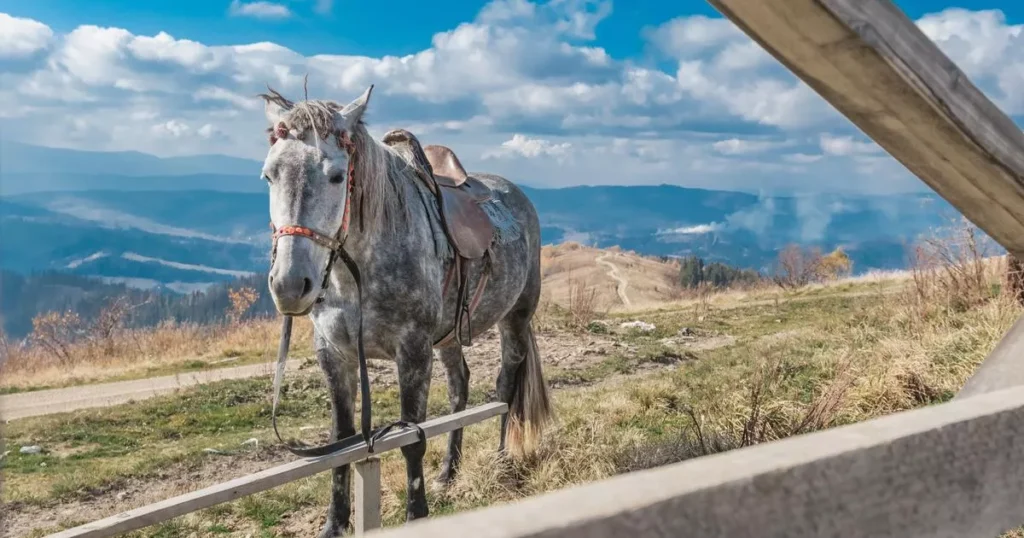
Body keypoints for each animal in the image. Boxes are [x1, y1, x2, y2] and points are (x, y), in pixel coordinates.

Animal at [260, 86, 557, 532]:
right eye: (269, 175)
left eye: (336, 175)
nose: (290, 285)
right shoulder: (334, 355)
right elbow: (340, 442)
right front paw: (335, 523)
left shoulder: (413, 352)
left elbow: (411, 440)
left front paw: (417, 515)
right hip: (450, 336)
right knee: (459, 387)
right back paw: (449, 470)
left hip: (516, 319)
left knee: (505, 388)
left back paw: (503, 460)